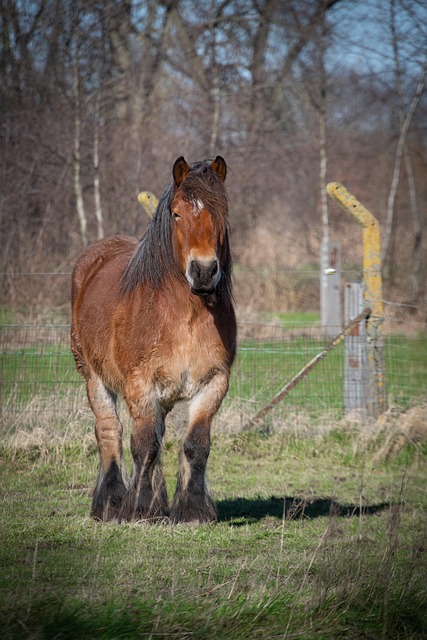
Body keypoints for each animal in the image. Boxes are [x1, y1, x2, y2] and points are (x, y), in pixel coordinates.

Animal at [71, 156, 236, 524]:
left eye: (223, 212)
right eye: (176, 213)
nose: (204, 271)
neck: (185, 315)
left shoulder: (213, 383)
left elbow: (195, 445)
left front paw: (191, 510)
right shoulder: (139, 384)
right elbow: (143, 446)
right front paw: (140, 509)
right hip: (94, 378)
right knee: (110, 432)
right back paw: (112, 503)